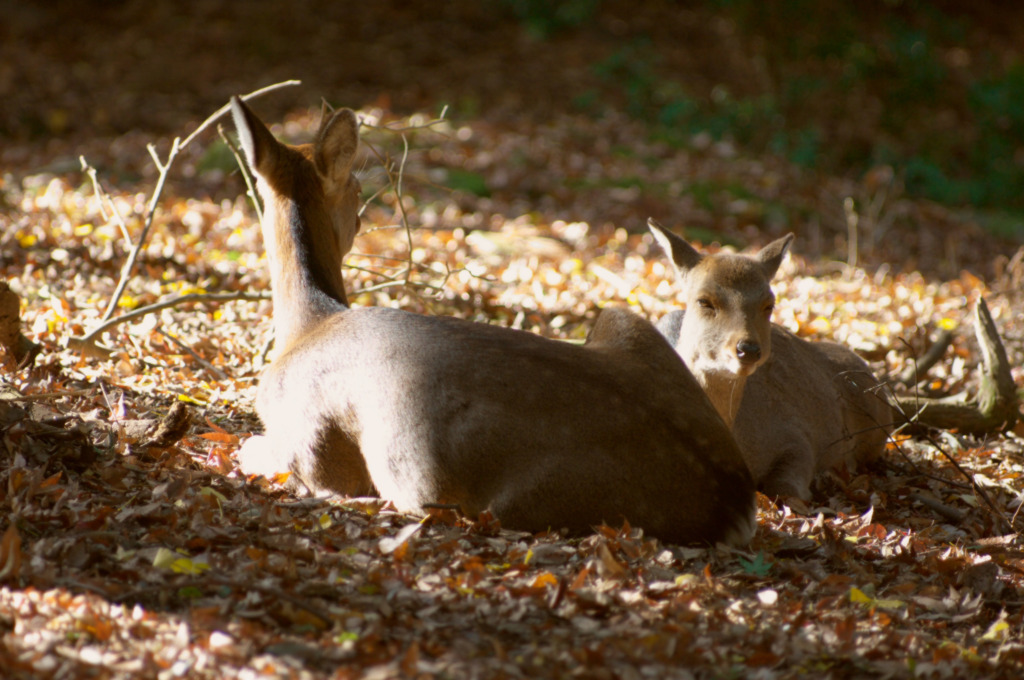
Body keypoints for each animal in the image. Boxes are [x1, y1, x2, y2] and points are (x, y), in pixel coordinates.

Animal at [232, 96, 761, 548]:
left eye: (358, 186)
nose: (361, 218)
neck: (308, 325)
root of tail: (734, 500)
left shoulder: (313, 457)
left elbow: (248, 446)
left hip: (514, 502)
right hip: (623, 322)